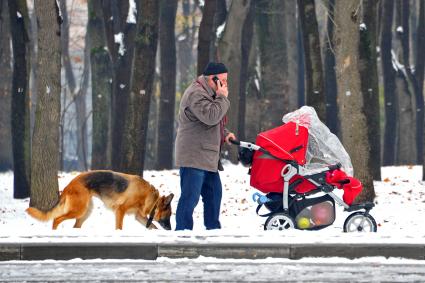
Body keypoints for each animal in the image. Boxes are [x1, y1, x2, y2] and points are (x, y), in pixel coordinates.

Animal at [26, 171, 174, 231]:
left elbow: (153, 227)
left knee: (75, 226)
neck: (150, 198)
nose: (170, 229)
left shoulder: (139, 216)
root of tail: (70, 184)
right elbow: (119, 227)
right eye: (168, 215)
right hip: (78, 210)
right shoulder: (120, 211)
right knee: (56, 219)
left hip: (85, 212)